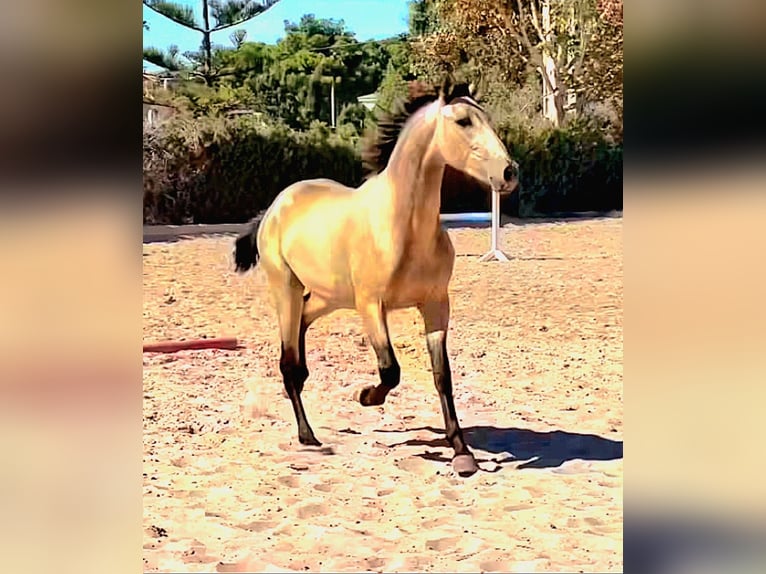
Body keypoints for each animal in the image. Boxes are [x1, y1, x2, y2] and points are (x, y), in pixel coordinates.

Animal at [234, 79, 520, 480]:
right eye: (463, 121)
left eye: (487, 119)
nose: (509, 173)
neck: (404, 226)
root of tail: (276, 206)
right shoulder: (371, 306)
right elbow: (391, 370)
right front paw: (366, 396)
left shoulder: (436, 306)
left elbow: (442, 376)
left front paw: (462, 453)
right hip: (286, 288)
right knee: (288, 360)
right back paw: (308, 436)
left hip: (329, 296)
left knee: (303, 329)